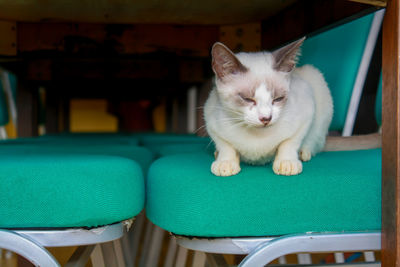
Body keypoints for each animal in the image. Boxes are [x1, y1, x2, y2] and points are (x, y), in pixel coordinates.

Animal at [203, 37, 334, 176]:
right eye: (247, 99)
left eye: (278, 99)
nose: (266, 118)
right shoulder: (210, 120)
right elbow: (226, 146)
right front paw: (225, 163)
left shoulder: (306, 114)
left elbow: (289, 142)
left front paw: (287, 162)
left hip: (317, 82)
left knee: (313, 141)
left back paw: (303, 153)